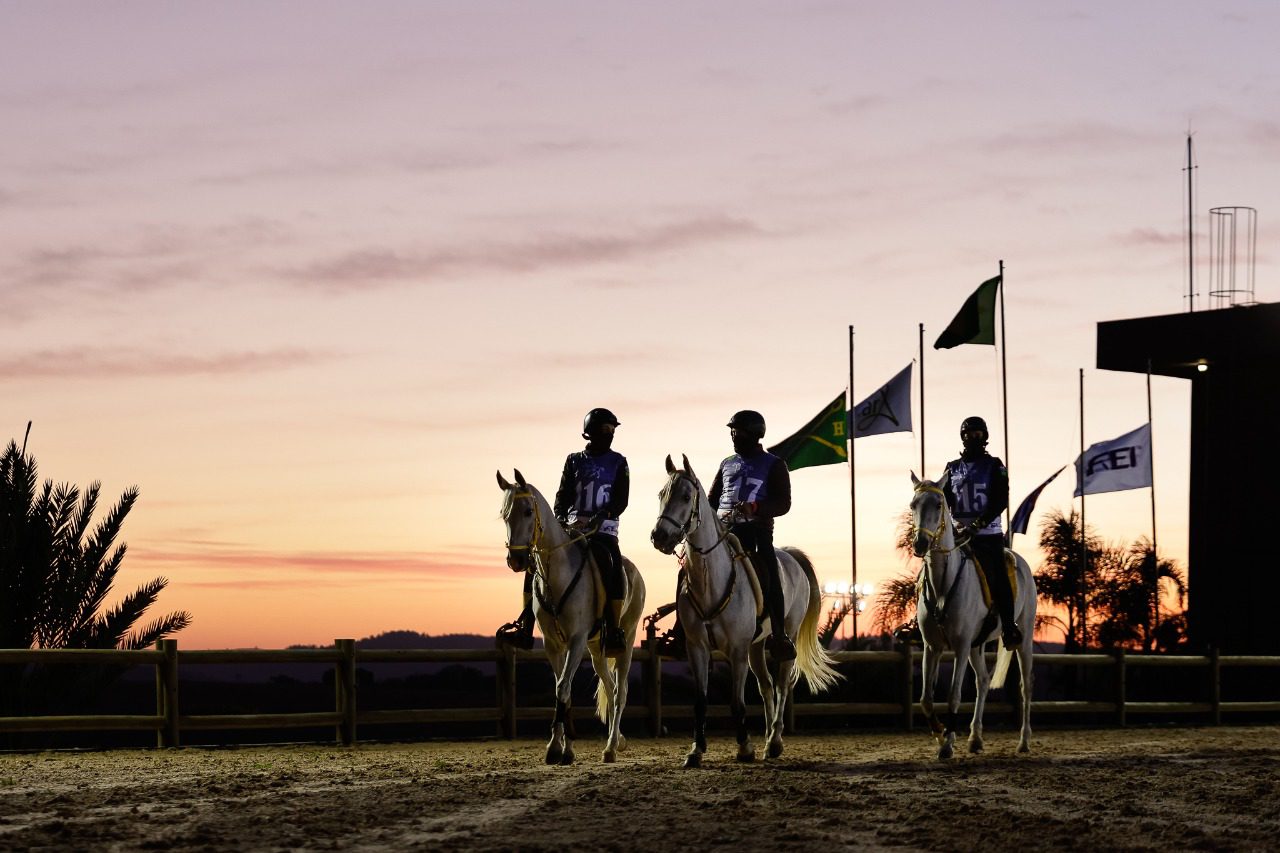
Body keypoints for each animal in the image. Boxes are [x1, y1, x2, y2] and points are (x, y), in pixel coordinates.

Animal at [494, 468, 645, 758]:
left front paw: (558, 749)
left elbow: (564, 687)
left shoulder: (576, 640)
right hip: (597, 648)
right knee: (609, 686)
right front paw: (563, 746)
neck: (558, 574)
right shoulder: (553, 644)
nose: (516, 561)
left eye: (528, 511)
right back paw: (616, 740)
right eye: (504, 514)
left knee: (620, 692)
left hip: (627, 641)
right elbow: (562, 689)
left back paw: (611, 747)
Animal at [650, 455, 839, 768]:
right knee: (766, 686)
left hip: (784, 638)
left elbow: (737, 702)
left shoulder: (736, 651)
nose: (659, 536)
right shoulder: (697, 648)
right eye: (661, 495)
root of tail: (790, 556)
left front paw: (744, 747)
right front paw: (696, 750)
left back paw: (774, 742)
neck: (710, 581)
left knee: (782, 685)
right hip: (756, 646)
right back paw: (767, 739)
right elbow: (700, 701)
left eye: (686, 496)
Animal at [906, 471, 1034, 758]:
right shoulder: (932, 646)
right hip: (978, 644)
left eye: (938, 505)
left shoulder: (961, 646)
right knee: (983, 681)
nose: (920, 544)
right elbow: (925, 698)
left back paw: (1023, 742)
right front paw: (940, 734)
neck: (943, 585)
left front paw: (947, 744)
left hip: (1024, 637)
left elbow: (953, 695)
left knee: (1025, 686)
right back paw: (975, 738)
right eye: (913, 505)